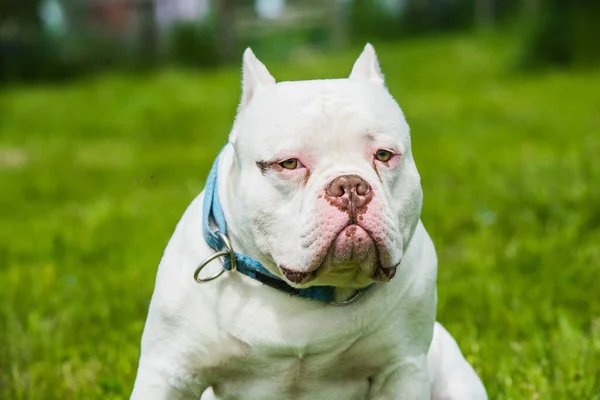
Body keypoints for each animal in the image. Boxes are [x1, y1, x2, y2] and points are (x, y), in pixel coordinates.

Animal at [131, 44, 488, 400]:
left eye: (384, 155)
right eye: (289, 163)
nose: (350, 186)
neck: (308, 294)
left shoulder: (402, 369)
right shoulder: (169, 373)